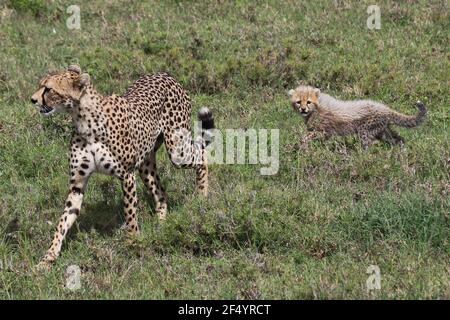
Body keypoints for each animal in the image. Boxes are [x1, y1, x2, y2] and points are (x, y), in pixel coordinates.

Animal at [31, 64, 214, 268]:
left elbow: (130, 213)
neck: (84, 120)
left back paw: (202, 198)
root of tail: (163, 74)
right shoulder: (77, 186)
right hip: (146, 164)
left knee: (201, 156)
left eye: (49, 89)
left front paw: (133, 243)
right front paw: (48, 258)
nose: (33, 99)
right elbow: (62, 222)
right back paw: (161, 224)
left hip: (177, 151)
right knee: (160, 192)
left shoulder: (127, 175)